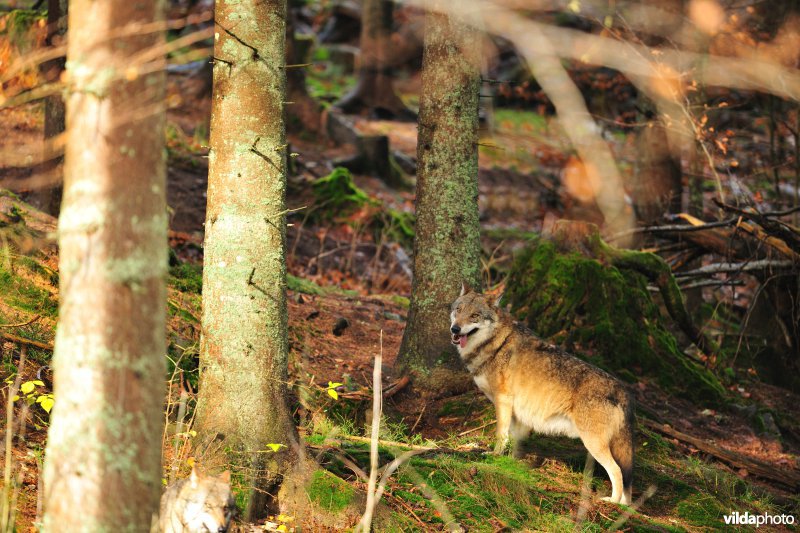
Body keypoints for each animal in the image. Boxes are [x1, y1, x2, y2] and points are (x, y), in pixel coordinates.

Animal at [450, 285, 634, 504]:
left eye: (474, 316)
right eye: (459, 310)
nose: (455, 329)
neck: (496, 342)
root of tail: (622, 390)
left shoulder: (503, 400)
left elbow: (501, 435)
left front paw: (494, 456)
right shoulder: (517, 414)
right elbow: (515, 441)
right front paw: (510, 462)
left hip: (594, 444)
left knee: (617, 471)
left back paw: (611, 501)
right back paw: (624, 508)